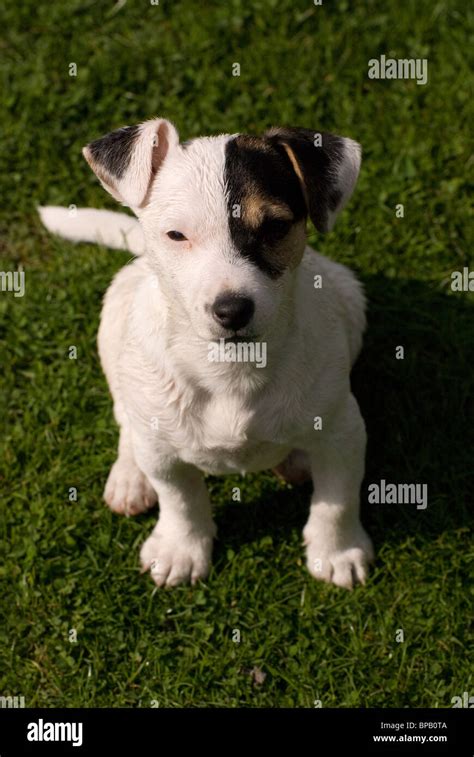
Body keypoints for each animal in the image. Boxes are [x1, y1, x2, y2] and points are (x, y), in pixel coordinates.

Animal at [39, 119, 374, 592]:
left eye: (275, 228)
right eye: (176, 235)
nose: (232, 310)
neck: (232, 370)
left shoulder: (342, 431)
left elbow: (337, 499)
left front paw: (337, 552)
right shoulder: (164, 454)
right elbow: (180, 499)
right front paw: (180, 549)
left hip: (349, 295)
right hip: (114, 328)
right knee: (126, 417)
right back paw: (129, 476)